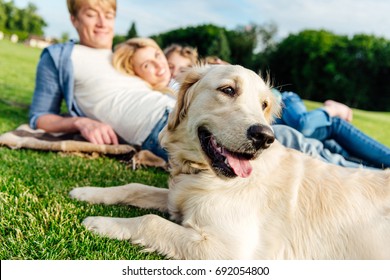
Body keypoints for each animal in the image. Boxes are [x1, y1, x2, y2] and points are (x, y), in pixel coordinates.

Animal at [70, 64, 390, 260]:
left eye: (264, 104)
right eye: (227, 90)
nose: (264, 137)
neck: (202, 173)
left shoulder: (228, 250)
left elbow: (151, 222)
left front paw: (99, 221)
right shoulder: (178, 198)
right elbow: (136, 187)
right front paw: (88, 192)